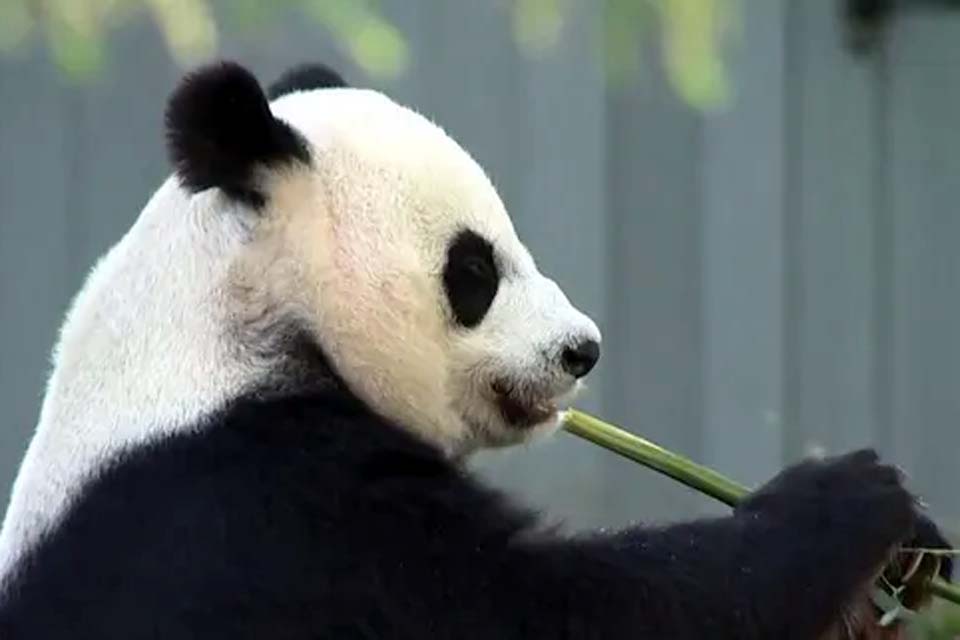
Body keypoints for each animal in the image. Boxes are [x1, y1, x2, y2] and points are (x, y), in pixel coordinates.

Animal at [0, 60, 951, 639]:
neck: (225, 323)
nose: (581, 350)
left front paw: (911, 564)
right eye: (474, 270)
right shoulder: (263, 510)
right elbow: (545, 606)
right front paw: (854, 501)